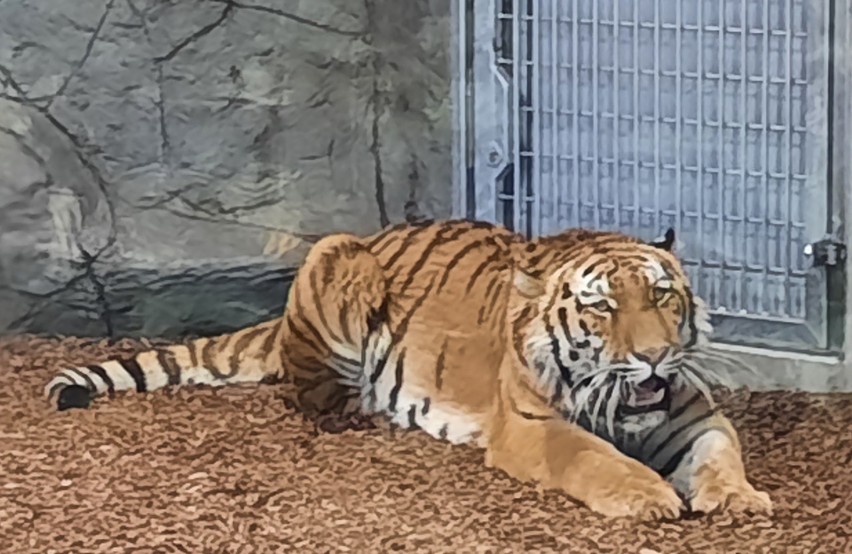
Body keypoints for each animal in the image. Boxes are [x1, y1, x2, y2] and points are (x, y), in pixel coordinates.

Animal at [45, 217, 772, 516]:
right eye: (601, 307)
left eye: (661, 295)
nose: (653, 355)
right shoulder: (533, 426)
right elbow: (597, 458)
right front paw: (650, 498)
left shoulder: (696, 416)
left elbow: (720, 454)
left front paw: (737, 499)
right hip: (337, 258)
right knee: (309, 396)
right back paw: (365, 413)